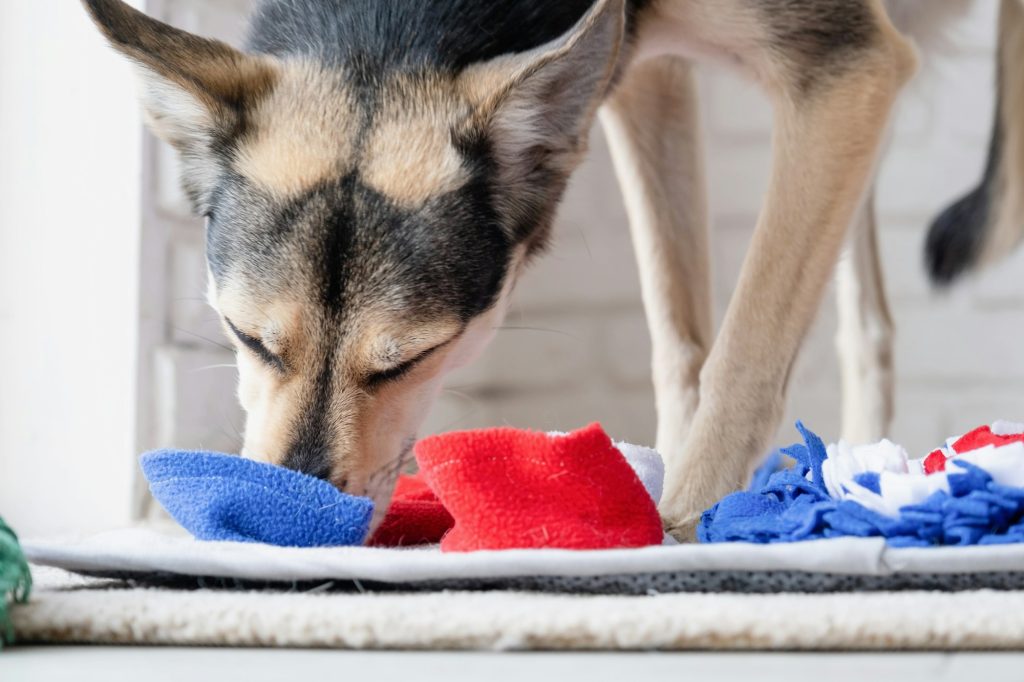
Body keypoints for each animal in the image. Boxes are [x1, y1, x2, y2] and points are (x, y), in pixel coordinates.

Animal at [83, 0, 1019, 536]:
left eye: (409, 360)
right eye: (247, 338)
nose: (279, 525)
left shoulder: (846, 65)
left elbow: (745, 349)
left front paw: (687, 520)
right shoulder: (644, 74)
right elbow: (680, 339)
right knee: (868, 319)